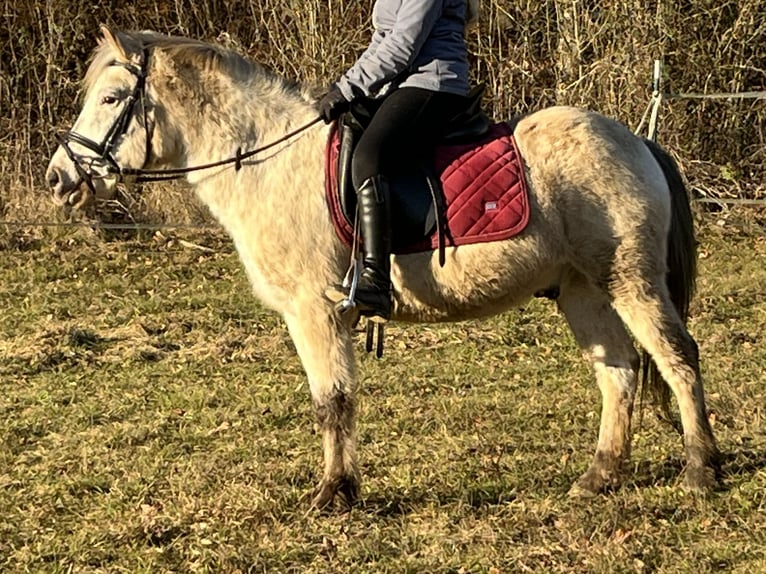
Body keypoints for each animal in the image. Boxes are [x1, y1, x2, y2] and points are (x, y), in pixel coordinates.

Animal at [45, 27, 720, 509]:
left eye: (111, 98)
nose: (59, 179)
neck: (264, 161)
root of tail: (636, 141)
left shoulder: (314, 312)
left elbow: (333, 400)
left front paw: (332, 495)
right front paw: (341, 490)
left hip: (631, 280)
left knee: (677, 359)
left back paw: (701, 470)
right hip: (583, 291)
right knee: (620, 373)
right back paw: (599, 477)